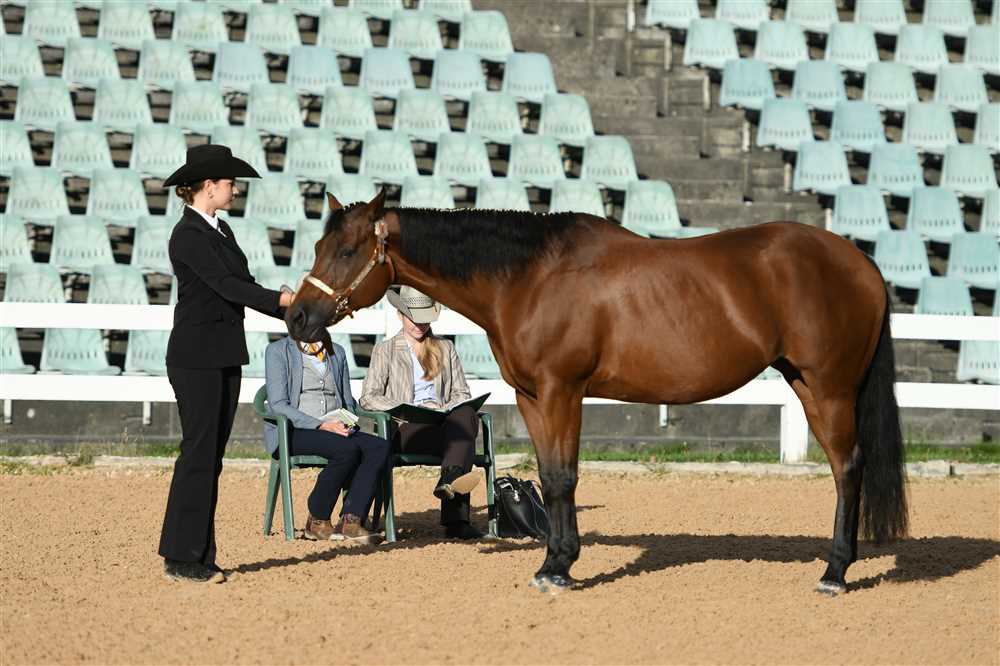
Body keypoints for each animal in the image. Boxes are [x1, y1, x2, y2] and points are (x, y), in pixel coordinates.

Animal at [286, 189, 908, 596]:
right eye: (318, 245)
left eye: (347, 251)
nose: (297, 317)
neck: (529, 277)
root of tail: (861, 261)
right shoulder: (534, 397)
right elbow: (549, 473)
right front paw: (552, 563)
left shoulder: (563, 391)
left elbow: (565, 476)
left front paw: (561, 569)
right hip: (807, 383)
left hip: (829, 388)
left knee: (848, 468)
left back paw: (834, 574)